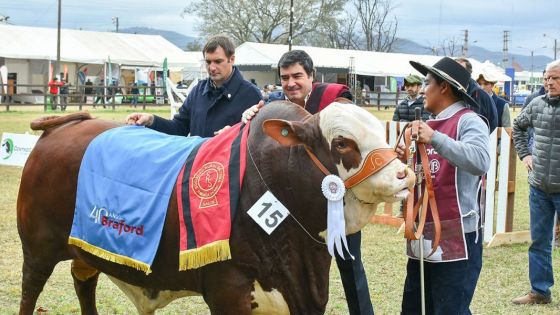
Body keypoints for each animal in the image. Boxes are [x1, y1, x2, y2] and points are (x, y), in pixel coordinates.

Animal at [17, 102, 414, 315]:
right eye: (343, 142)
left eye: (379, 131)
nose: (404, 174)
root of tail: (64, 125)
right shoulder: (229, 289)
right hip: (37, 249)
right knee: (30, 289)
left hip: (85, 249)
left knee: (83, 282)